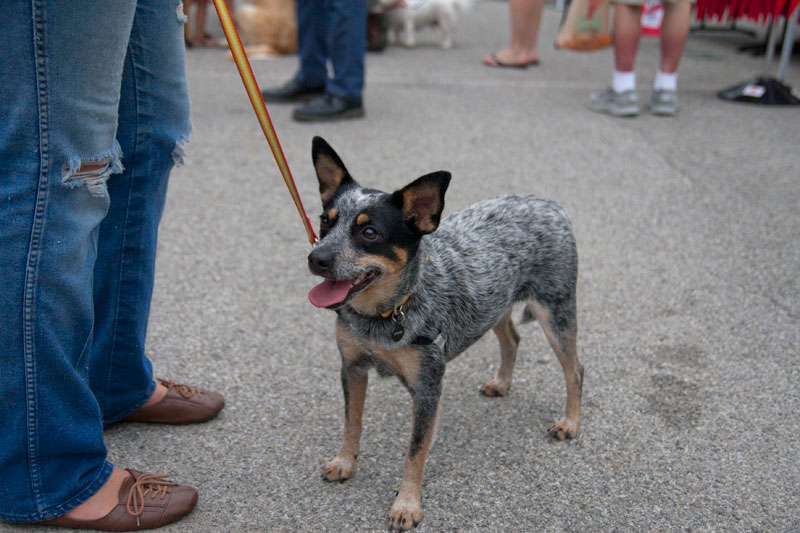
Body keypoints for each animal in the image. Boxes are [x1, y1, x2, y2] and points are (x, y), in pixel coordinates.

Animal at [306, 136, 580, 528]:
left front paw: (407, 504)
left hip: (555, 312)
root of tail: (549, 203)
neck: (385, 314)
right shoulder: (352, 368)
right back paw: (502, 382)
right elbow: (351, 423)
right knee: (512, 339)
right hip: (494, 303)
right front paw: (344, 462)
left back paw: (570, 422)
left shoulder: (428, 389)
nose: (316, 259)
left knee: (575, 370)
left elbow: (415, 451)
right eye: (325, 222)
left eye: (369, 232)